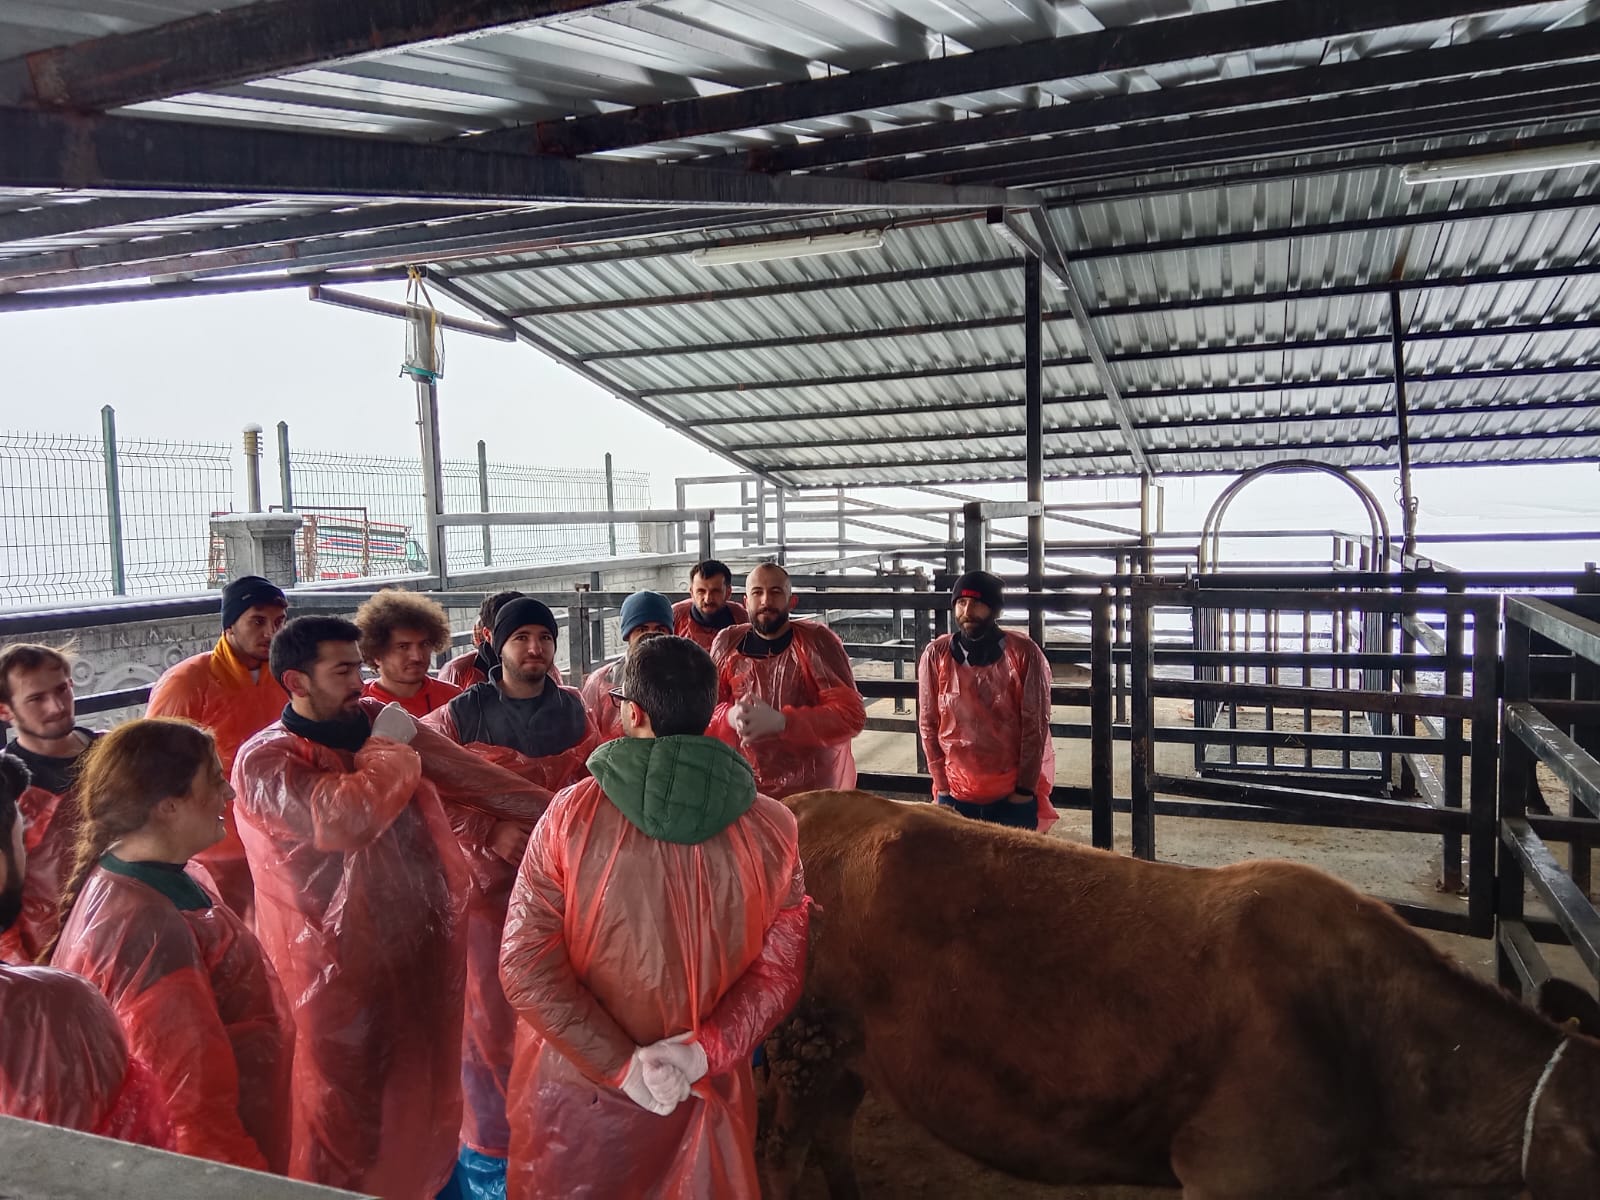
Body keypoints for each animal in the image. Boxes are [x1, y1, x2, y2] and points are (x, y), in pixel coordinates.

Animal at [761, 800, 1600, 1200]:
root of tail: (800, 802)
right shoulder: (1234, 1171)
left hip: (847, 1054)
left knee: (831, 1132)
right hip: (797, 1048)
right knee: (783, 1152)